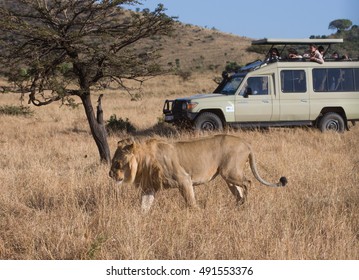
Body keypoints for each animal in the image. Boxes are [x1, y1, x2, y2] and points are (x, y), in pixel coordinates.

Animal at [108, 134, 288, 212]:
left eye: (117, 163)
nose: (110, 175)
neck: (143, 161)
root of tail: (246, 143)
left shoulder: (184, 180)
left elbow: (191, 202)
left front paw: (196, 214)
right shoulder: (149, 187)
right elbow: (144, 206)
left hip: (231, 172)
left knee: (247, 183)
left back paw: (246, 205)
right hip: (229, 178)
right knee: (239, 191)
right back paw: (238, 207)